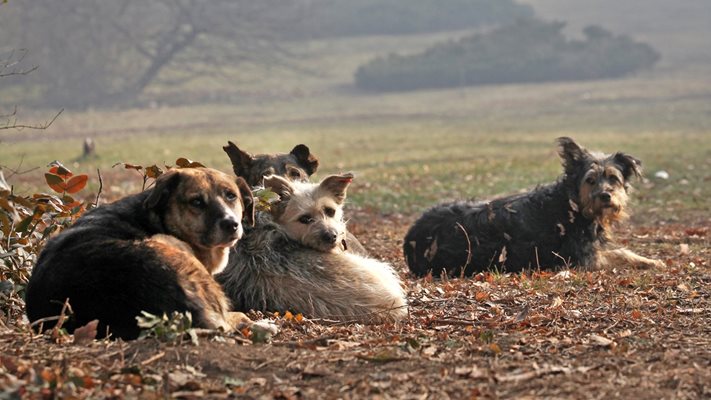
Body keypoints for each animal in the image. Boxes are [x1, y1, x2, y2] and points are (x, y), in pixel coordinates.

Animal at [404, 136, 664, 276]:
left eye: (613, 178)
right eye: (590, 180)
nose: (605, 196)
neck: (572, 204)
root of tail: (411, 238)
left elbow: (622, 251)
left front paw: (651, 260)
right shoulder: (582, 259)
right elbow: (618, 255)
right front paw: (650, 262)